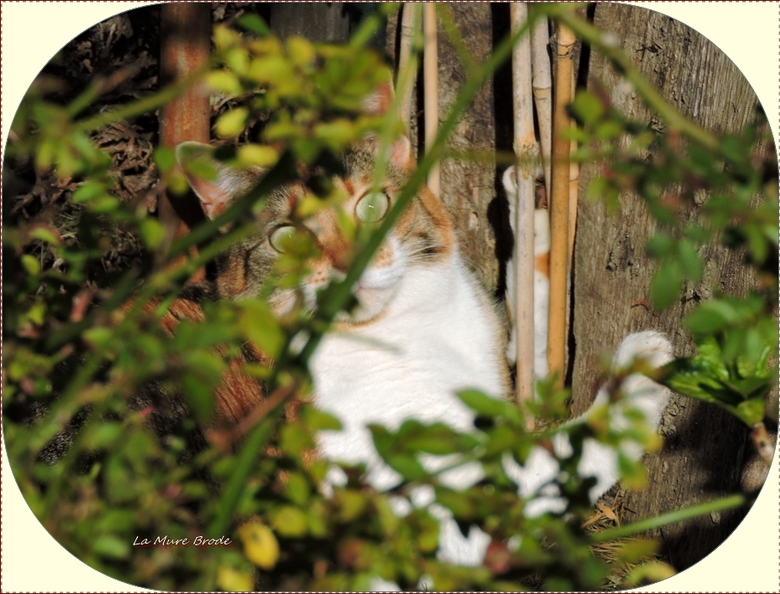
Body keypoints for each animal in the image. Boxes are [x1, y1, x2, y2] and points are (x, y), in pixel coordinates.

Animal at [174, 82, 672, 572]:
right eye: (287, 238)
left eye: (372, 205)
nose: (348, 264)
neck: (404, 325)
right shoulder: (438, 511)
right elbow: (556, 454)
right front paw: (640, 373)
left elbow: (531, 348)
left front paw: (529, 215)